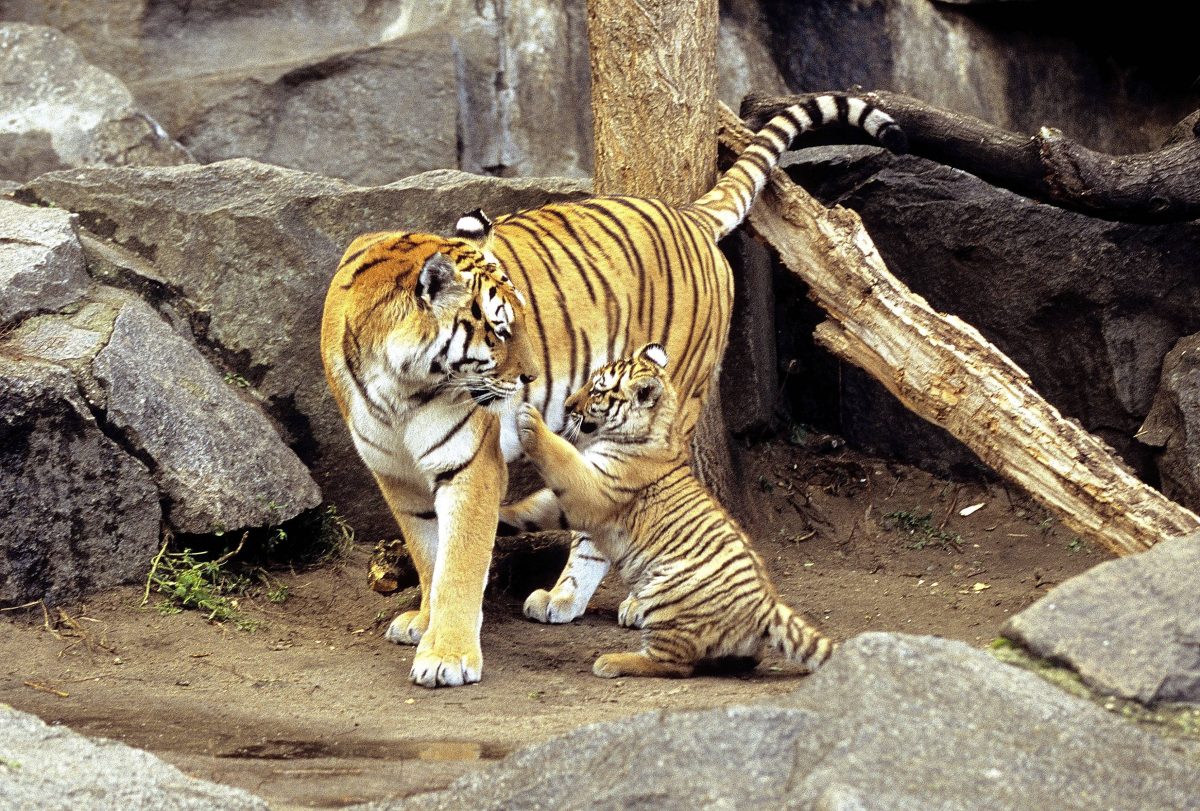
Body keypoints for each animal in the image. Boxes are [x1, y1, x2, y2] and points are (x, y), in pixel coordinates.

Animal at [319, 96, 902, 691]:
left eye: (519, 322)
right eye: (500, 330)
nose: (530, 379)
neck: (400, 387)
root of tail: (687, 215)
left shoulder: (470, 466)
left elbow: (458, 560)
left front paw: (449, 656)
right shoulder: (395, 475)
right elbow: (427, 551)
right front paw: (425, 621)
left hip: (665, 407)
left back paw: (625, 601)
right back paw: (563, 598)